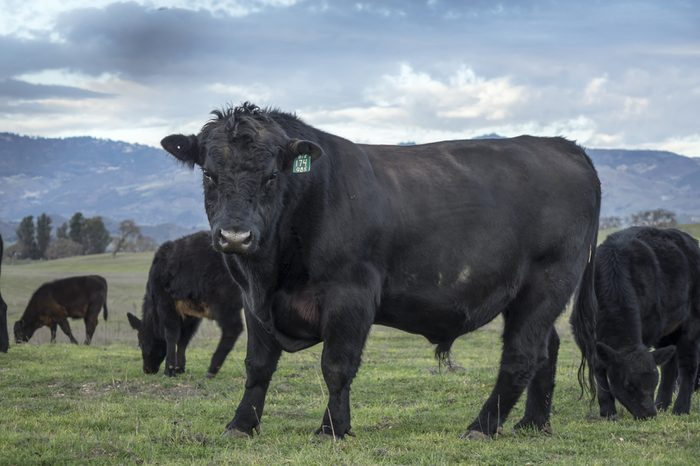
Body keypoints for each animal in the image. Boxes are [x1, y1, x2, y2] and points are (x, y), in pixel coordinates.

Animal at [127, 231, 245, 376]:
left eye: (141, 343)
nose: (147, 369)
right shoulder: (191, 314)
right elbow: (184, 339)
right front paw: (180, 368)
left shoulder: (166, 304)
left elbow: (171, 335)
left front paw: (169, 369)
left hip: (224, 301)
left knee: (233, 329)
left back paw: (212, 369)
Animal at [160, 103, 600, 440]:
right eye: (209, 174)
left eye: (271, 175)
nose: (235, 236)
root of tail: (562, 146)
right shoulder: (254, 301)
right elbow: (258, 366)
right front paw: (241, 424)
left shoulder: (350, 295)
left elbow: (336, 366)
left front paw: (333, 429)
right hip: (528, 296)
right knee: (546, 348)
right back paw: (533, 423)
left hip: (546, 284)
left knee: (522, 354)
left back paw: (482, 426)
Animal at [584, 226, 700, 418]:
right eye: (628, 385)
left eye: (653, 383)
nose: (650, 413)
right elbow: (599, 366)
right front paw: (608, 411)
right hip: (668, 329)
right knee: (669, 364)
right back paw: (662, 403)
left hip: (691, 324)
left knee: (687, 364)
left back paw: (680, 408)